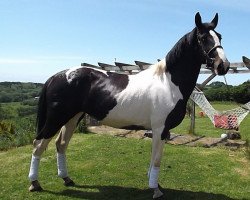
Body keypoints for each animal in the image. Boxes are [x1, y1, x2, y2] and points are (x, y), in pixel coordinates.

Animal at [28, 12, 229, 198]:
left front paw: (153, 183)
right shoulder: (160, 129)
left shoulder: (159, 131)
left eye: (220, 36)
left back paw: (66, 178)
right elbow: (157, 159)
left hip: (72, 117)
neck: (168, 82)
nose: (223, 66)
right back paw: (34, 183)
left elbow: (153, 158)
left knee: (61, 144)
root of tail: (56, 76)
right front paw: (156, 190)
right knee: (39, 144)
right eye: (203, 38)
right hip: (56, 118)